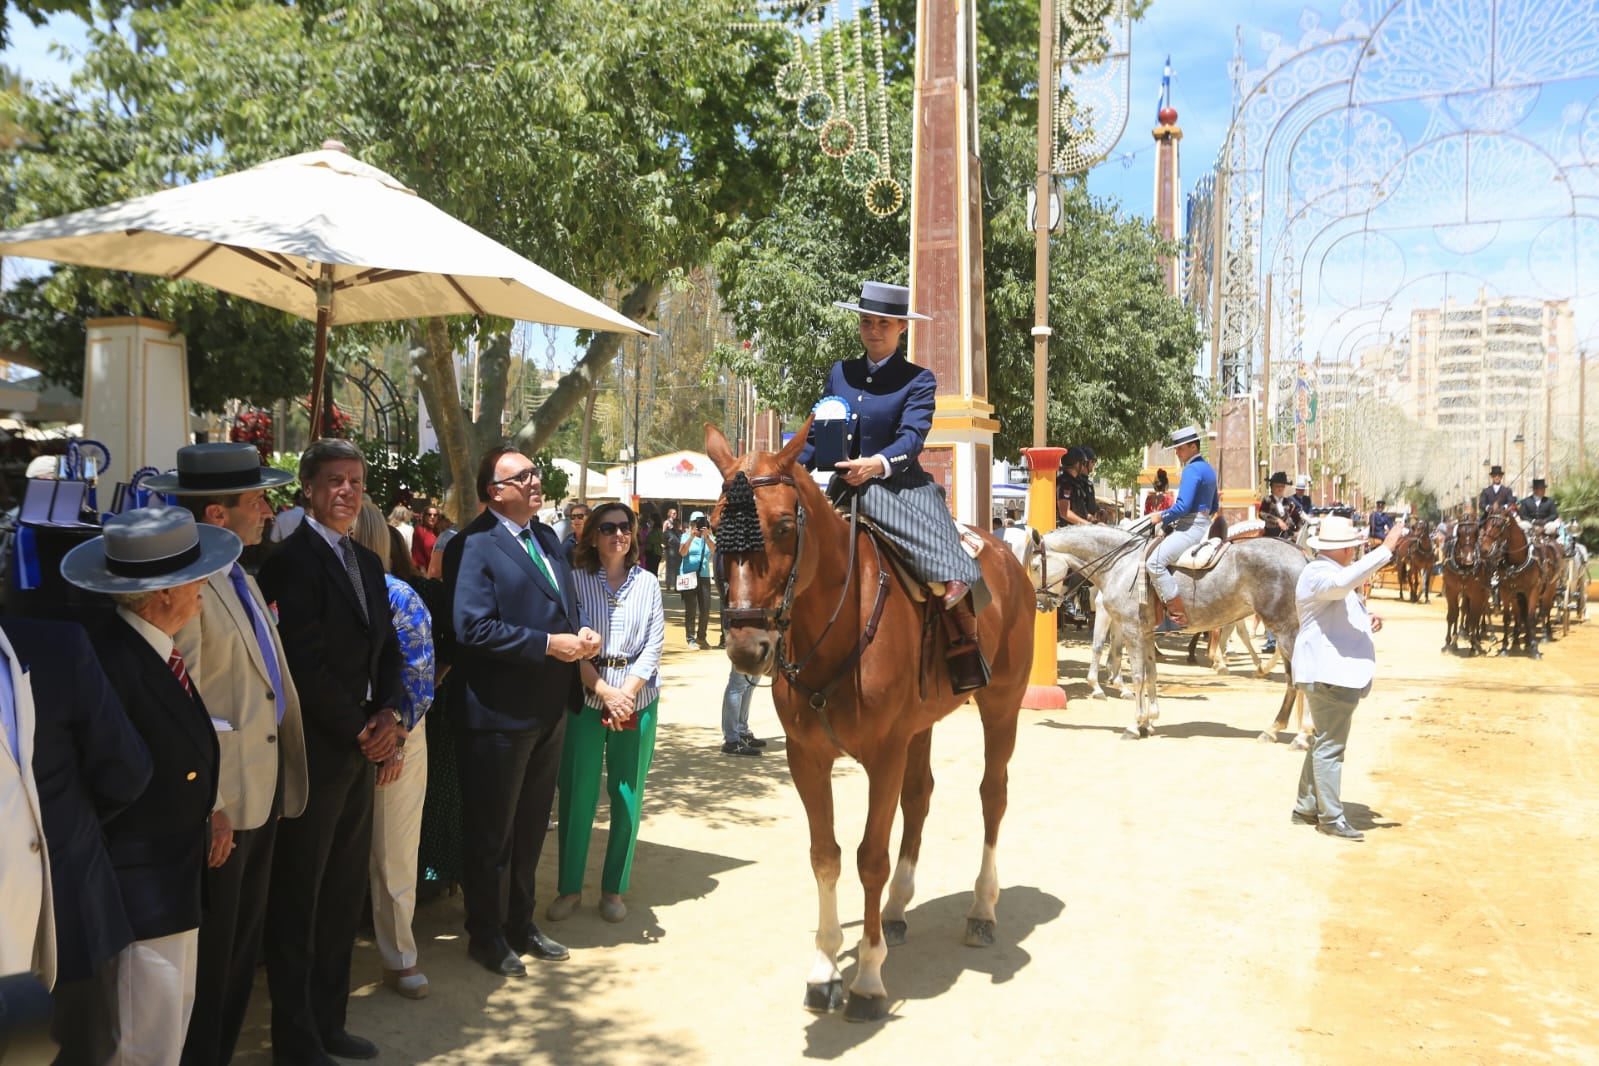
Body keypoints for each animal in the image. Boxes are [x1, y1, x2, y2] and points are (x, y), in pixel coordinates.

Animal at [703, 421, 1036, 1022]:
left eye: (783, 525)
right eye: (716, 527)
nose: (747, 647)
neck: (836, 623)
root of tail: (1004, 552)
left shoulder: (884, 753)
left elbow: (870, 859)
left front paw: (867, 979)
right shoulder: (807, 757)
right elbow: (826, 856)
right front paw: (824, 969)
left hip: (1001, 705)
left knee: (992, 795)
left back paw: (982, 908)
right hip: (921, 726)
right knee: (921, 796)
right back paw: (900, 909)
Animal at [1029, 524, 1304, 741]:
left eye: (1033, 566)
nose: (1040, 603)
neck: (1121, 565)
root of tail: (1301, 554)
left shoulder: (1132, 630)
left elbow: (1138, 676)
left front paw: (1135, 724)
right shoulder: (1147, 634)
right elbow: (1151, 675)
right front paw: (1149, 722)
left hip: (1286, 631)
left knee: (1299, 679)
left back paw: (1296, 734)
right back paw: (1280, 729)